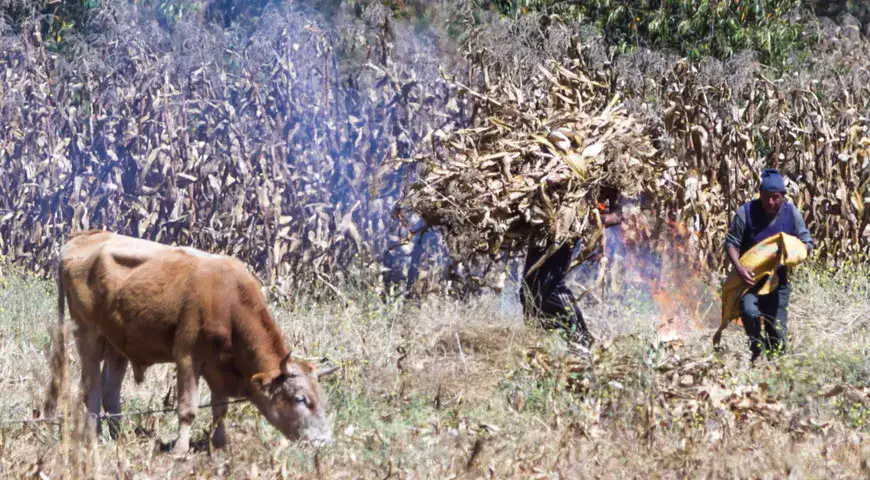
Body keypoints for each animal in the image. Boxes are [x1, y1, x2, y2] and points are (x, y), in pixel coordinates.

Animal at [43, 231, 338, 452]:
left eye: (323, 399)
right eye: (300, 399)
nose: (323, 442)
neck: (228, 300)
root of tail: (85, 237)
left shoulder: (218, 366)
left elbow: (220, 408)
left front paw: (219, 443)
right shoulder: (186, 356)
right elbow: (188, 408)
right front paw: (181, 449)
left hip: (118, 343)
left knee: (110, 392)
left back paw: (118, 437)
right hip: (88, 335)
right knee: (91, 389)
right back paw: (96, 436)